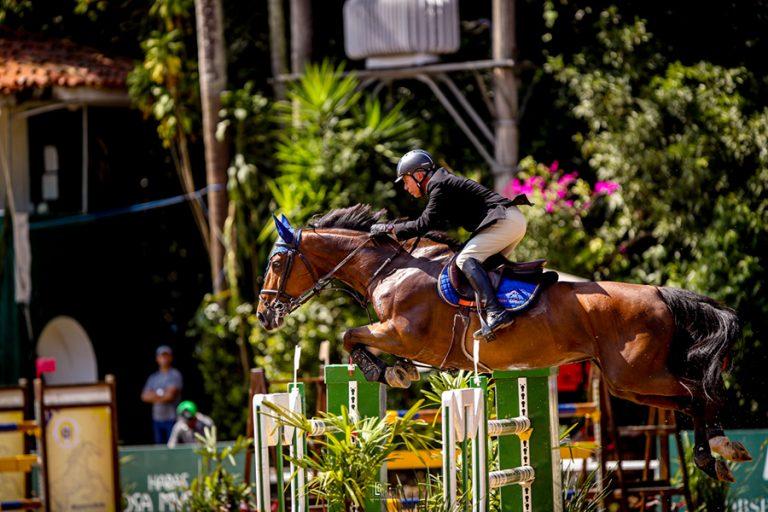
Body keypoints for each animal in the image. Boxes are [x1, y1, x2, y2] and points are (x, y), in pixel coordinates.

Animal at [258, 203, 752, 480]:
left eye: (278, 262)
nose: (264, 315)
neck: (389, 268)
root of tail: (659, 293)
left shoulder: (402, 332)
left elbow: (350, 335)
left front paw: (386, 370)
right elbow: (355, 337)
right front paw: (394, 371)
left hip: (636, 374)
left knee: (700, 393)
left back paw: (715, 453)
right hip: (629, 382)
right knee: (692, 399)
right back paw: (720, 451)